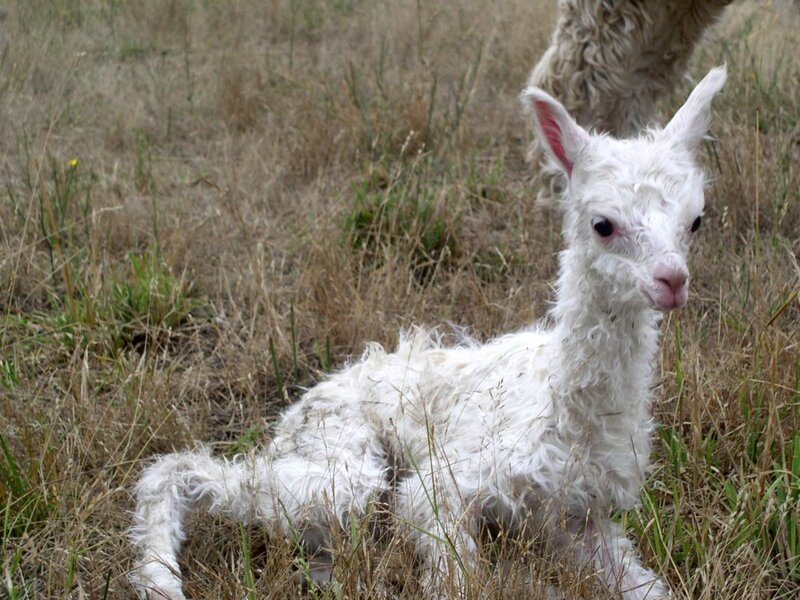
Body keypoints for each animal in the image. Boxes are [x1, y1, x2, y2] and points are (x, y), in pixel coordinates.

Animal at [130, 65, 727, 600]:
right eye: (603, 224)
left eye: (696, 220)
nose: (672, 281)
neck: (565, 408)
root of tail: (297, 411)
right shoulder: (442, 487)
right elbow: (455, 574)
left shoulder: (577, 518)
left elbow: (648, 587)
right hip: (347, 468)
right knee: (177, 469)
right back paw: (161, 580)